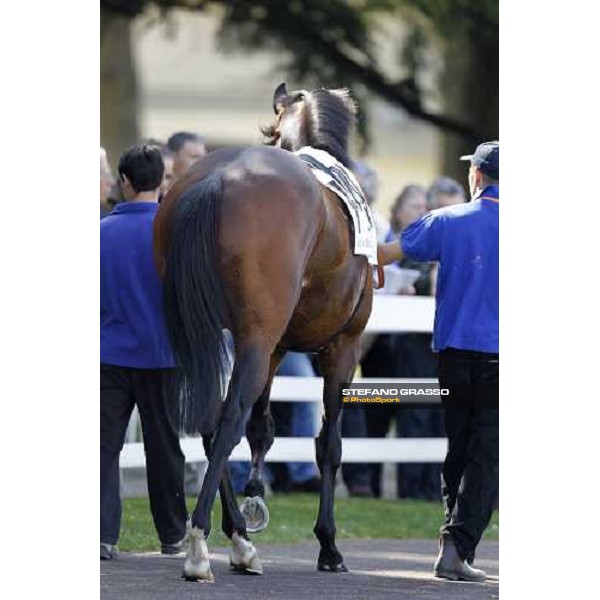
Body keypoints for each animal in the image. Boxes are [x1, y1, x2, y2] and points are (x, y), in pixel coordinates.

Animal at [152, 82, 372, 580]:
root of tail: (218, 179)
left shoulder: (276, 349)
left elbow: (263, 430)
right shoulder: (342, 348)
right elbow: (328, 445)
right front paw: (329, 544)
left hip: (200, 336)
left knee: (212, 420)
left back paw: (238, 540)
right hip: (252, 341)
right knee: (227, 418)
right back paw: (200, 546)